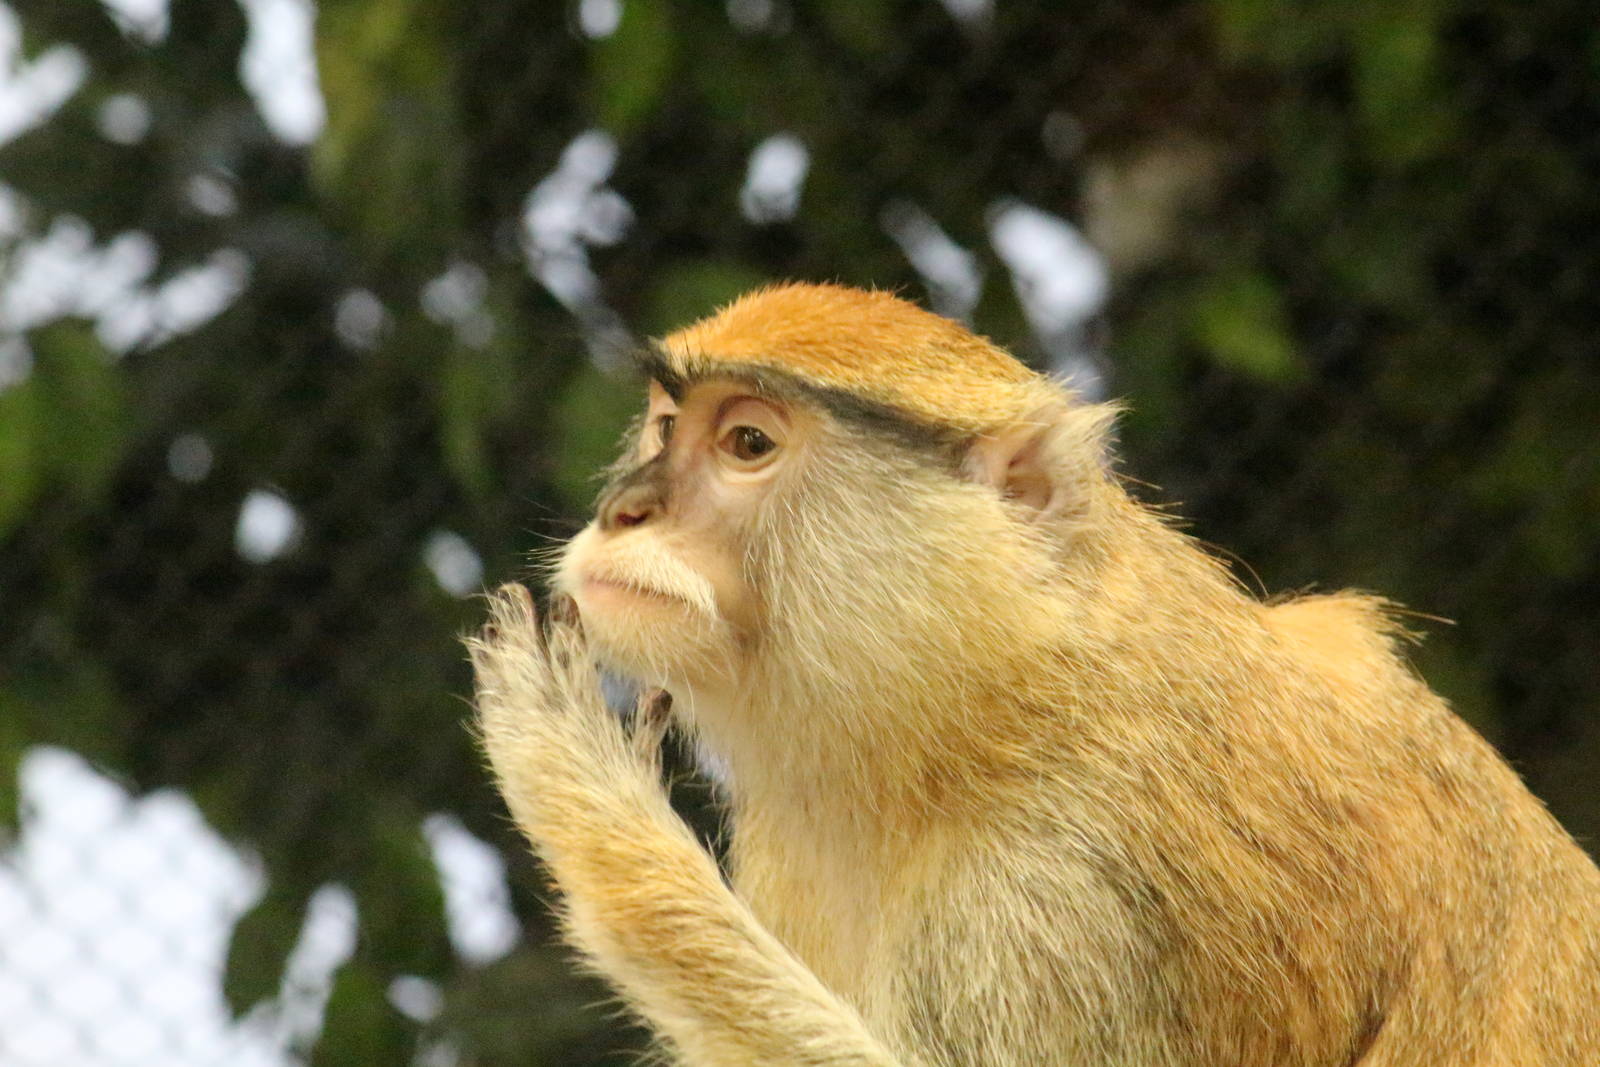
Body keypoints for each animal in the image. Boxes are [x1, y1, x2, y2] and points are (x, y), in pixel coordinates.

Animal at [467, 282, 1600, 1066]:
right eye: (668, 423)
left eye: (747, 440)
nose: (627, 507)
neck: (993, 687)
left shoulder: (1064, 887)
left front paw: (586, 793)